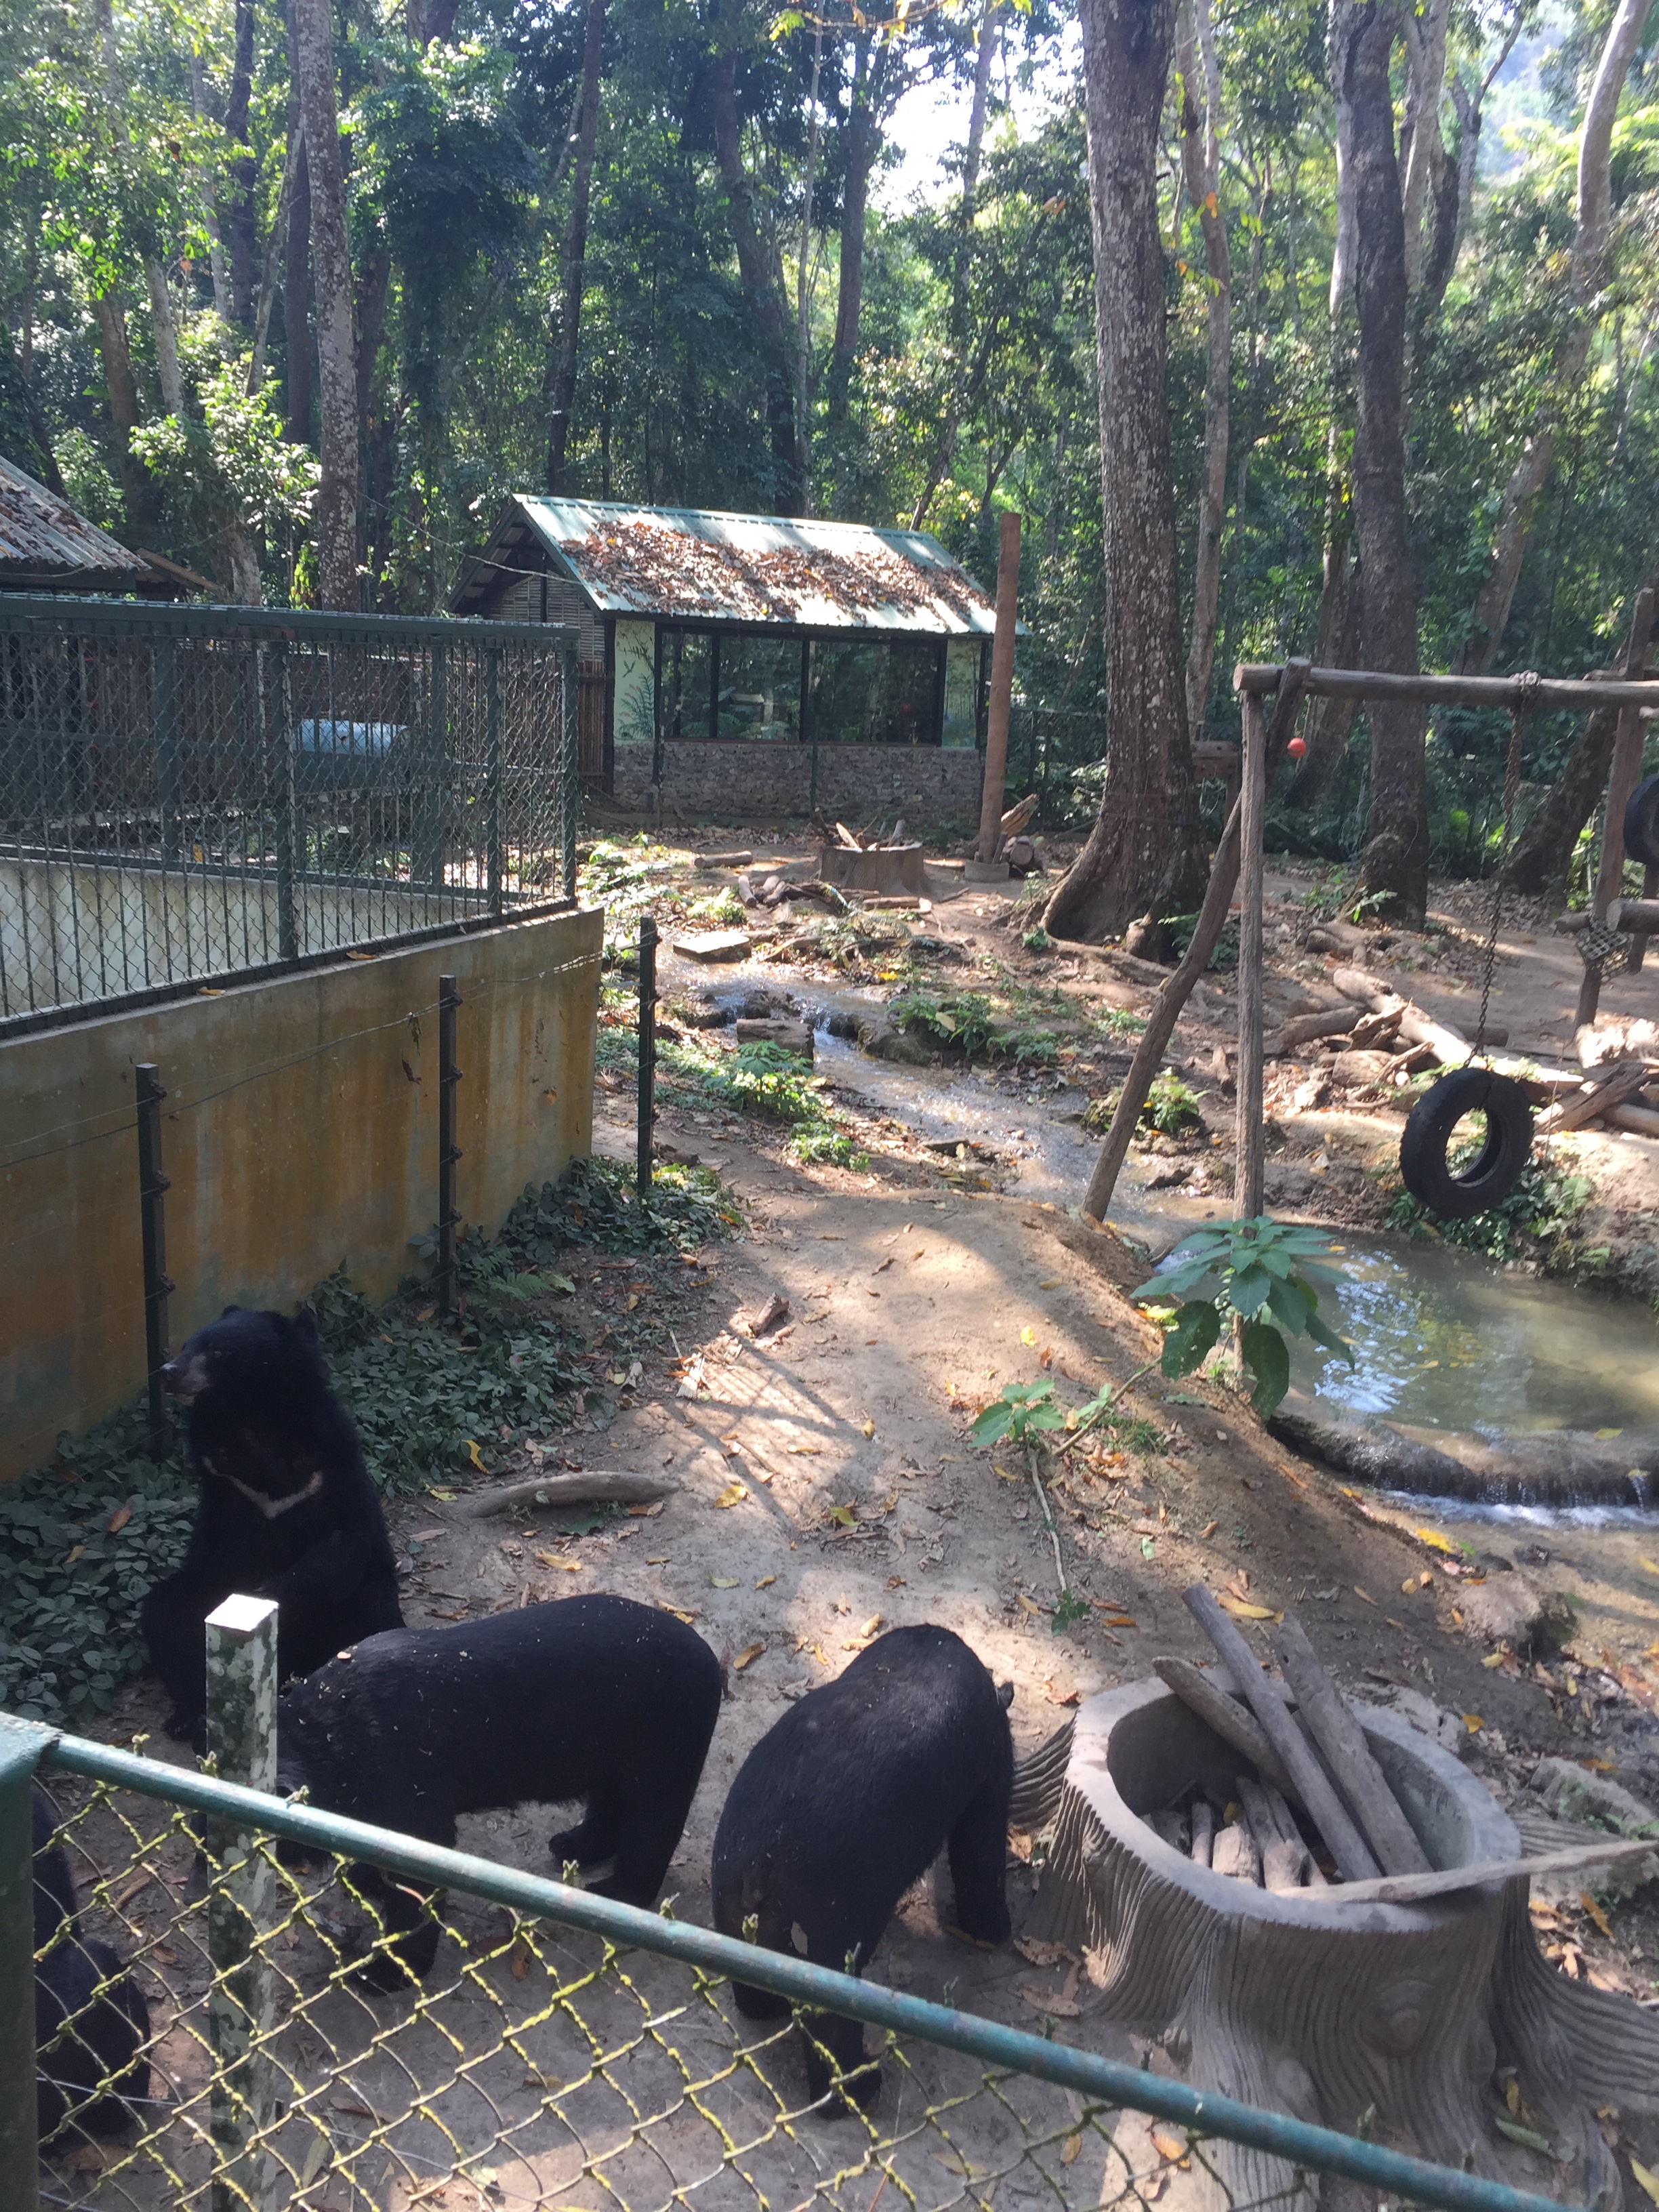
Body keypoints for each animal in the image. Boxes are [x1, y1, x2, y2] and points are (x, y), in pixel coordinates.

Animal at [141, 1305, 403, 1740]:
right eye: (185, 1345)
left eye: (217, 1351)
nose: (168, 1371)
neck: (253, 1417)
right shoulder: (226, 1485)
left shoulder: (331, 1468)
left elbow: (342, 1543)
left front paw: (266, 1596)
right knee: (167, 1615)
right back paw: (191, 1715)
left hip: (362, 1603)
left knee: (374, 1613)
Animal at [276, 1593, 723, 1986]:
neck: (328, 1744)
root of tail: (712, 1661)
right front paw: (366, 1883)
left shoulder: (418, 1812)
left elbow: (413, 1904)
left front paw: (387, 1975)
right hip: (611, 1761)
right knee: (610, 1811)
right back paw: (572, 1847)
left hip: (664, 1762)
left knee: (653, 1833)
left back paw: (614, 1894)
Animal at [711, 1623, 1013, 2114]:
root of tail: (761, 1867)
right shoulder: (989, 1774)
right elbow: (981, 1856)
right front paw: (994, 1931)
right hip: (828, 1930)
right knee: (833, 2022)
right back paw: (858, 2088)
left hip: (730, 1903)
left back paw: (767, 2009)